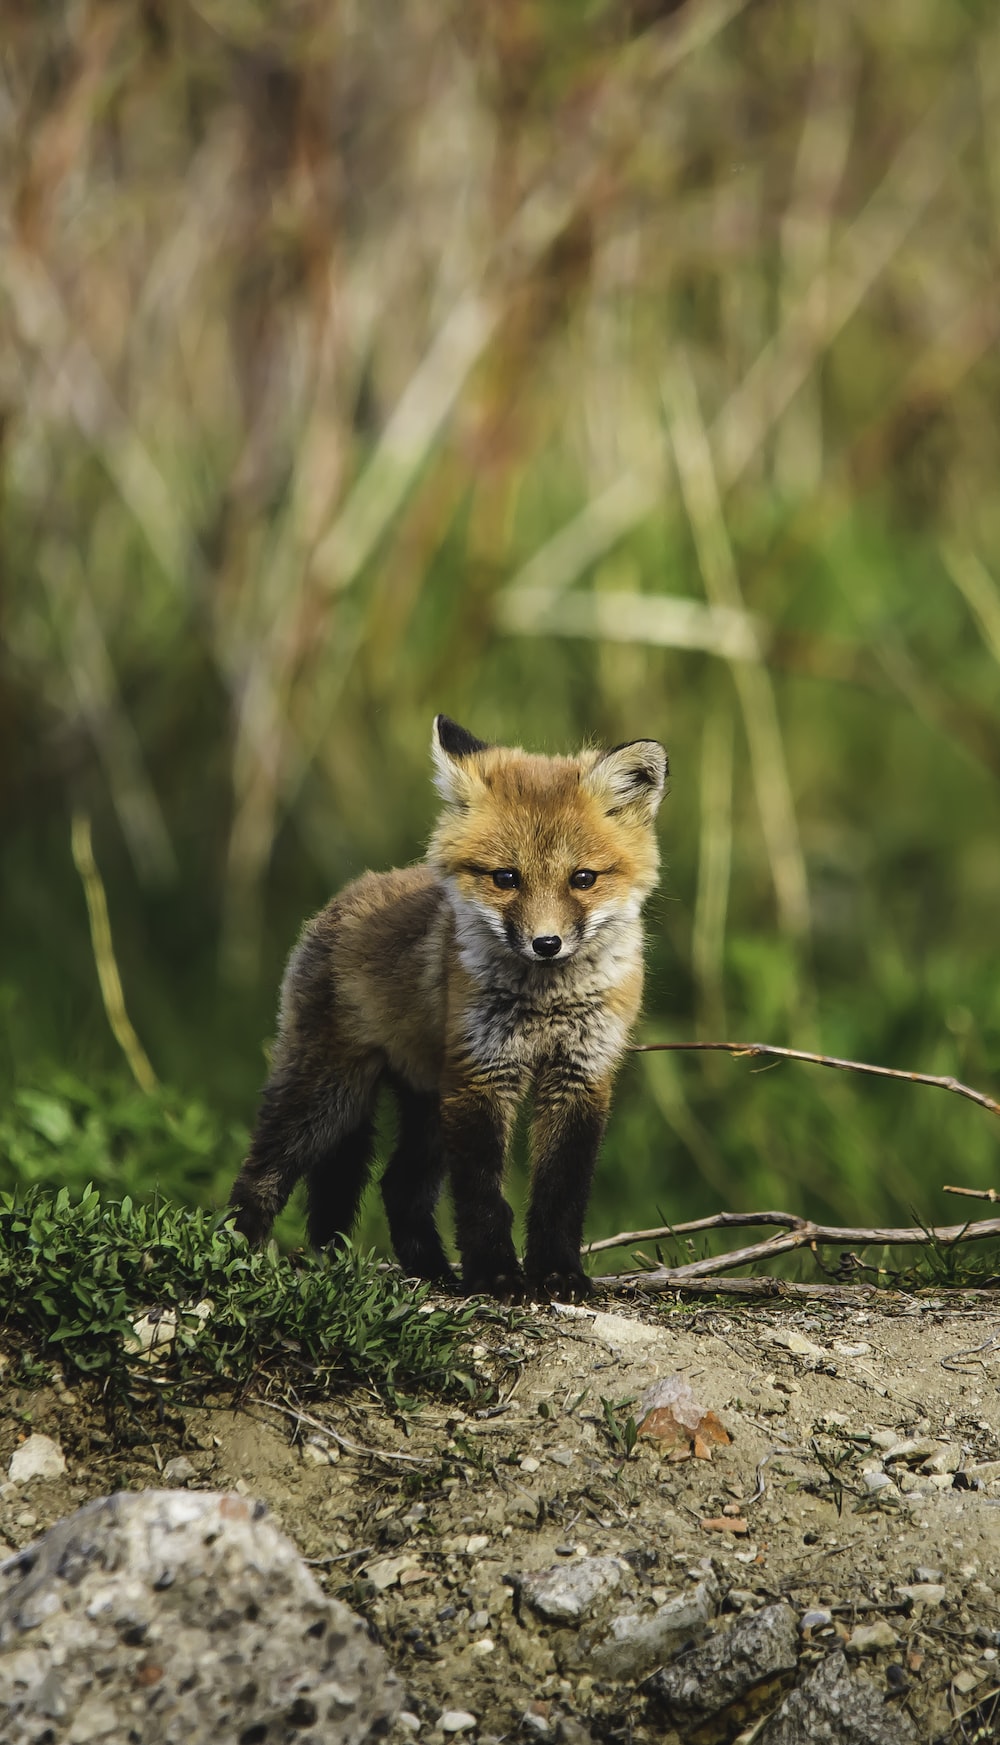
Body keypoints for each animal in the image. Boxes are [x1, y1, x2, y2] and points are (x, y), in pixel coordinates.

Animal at [227, 716, 667, 1298]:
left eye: (583, 879)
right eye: (506, 878)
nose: (546, 944)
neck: (545, 1002)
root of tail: (349, 892)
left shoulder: (579, 1075)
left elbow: (561, 1194)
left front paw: (557, 1273)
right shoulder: (482, 1074)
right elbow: (482, 1197)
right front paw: (497, 1275)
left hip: (426, 1105)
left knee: (398, 1186)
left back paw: (431, 1272)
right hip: (331, 1096)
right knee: (264, 1169)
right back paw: (235, 1252)